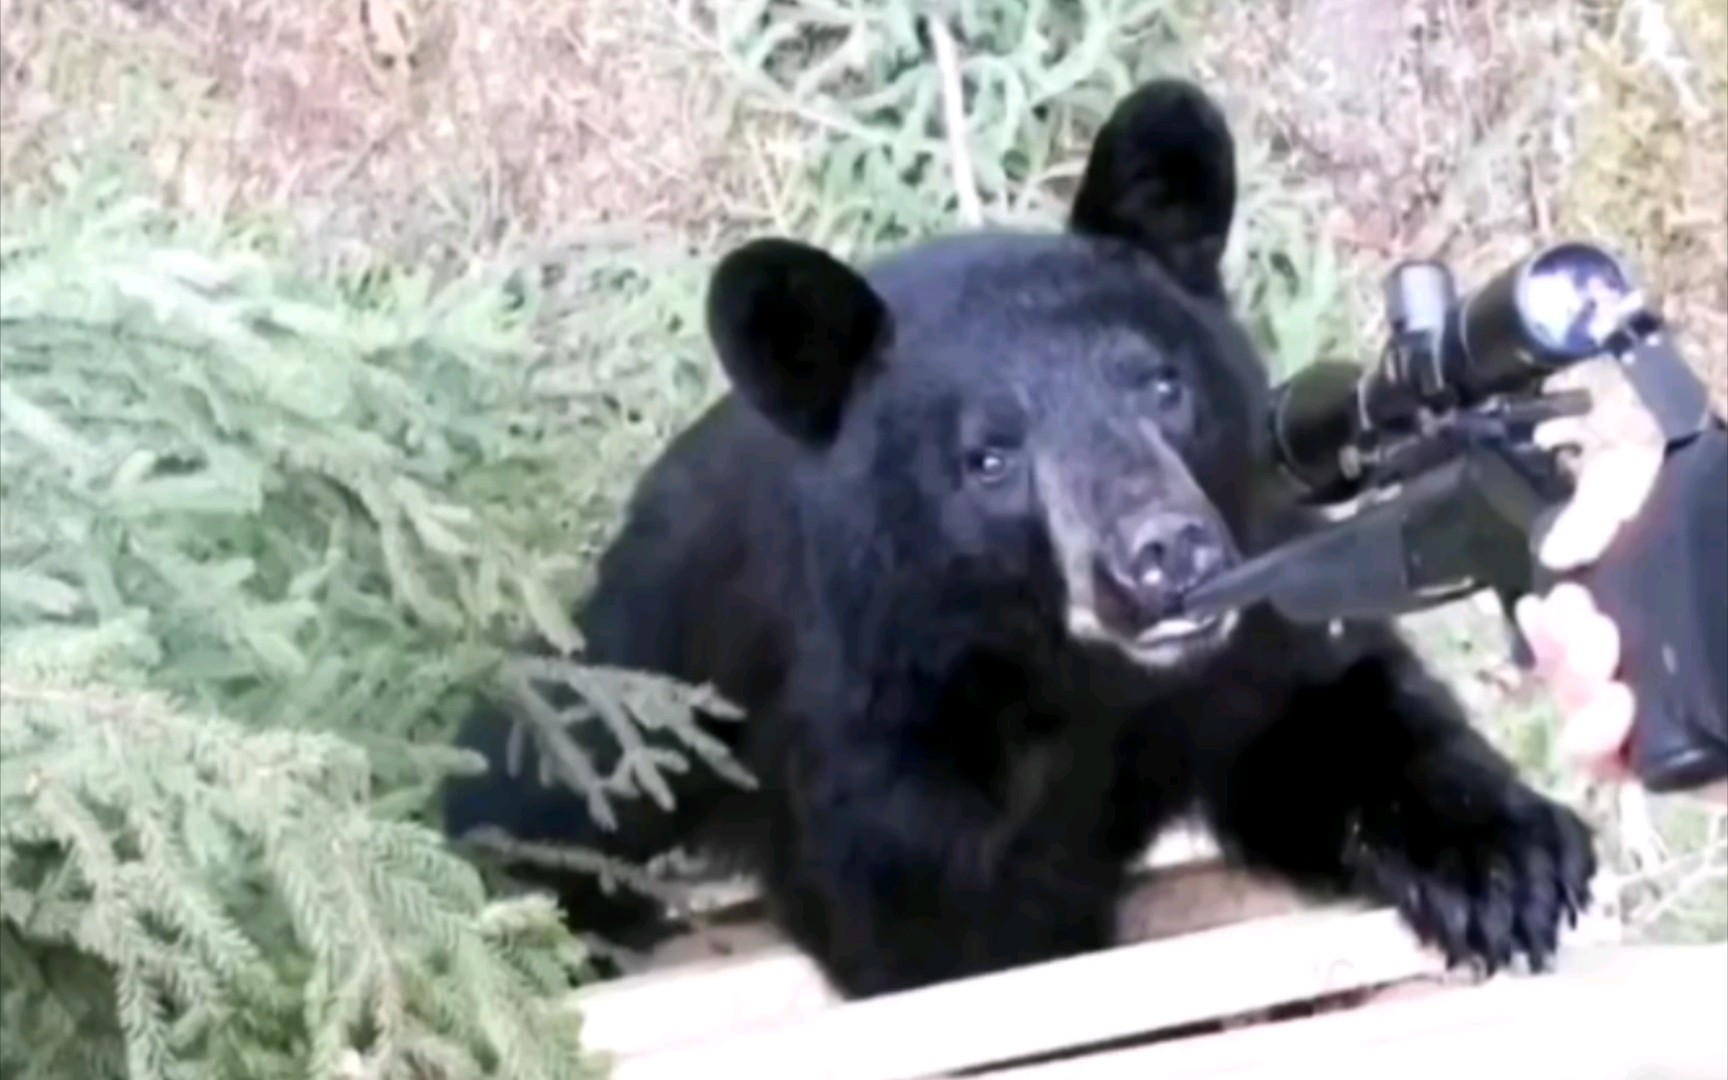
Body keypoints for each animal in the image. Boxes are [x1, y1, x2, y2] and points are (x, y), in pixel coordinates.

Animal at [442, 79, 1589, 995]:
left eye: (1160, 385)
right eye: (989, 459)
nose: (1163, 554)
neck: (1072, 680)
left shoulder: (1255, 615)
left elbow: (1331, 709)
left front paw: (1506, 863)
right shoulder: (882, 735)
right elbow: (947, 930)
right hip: (625, 700)